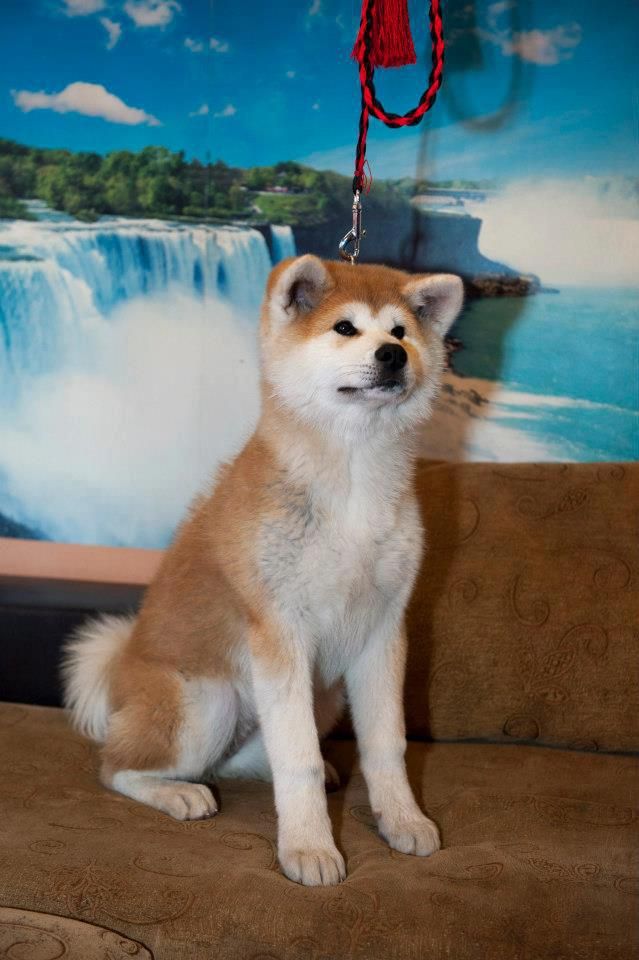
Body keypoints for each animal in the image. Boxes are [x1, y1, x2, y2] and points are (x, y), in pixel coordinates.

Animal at [63, 254, 463, 886]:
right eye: (345, 328)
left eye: (400, 332)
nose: (392, 356)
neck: (353, 482)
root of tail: (121, 668)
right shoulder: (280, 632)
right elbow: (296, 761)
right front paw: (309, 849)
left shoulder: (382, 632)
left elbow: (386, 746)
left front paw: (401, 819)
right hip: (209, 703)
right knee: (117, 767)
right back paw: (178, 794)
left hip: (323, 699)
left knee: (251, 760)